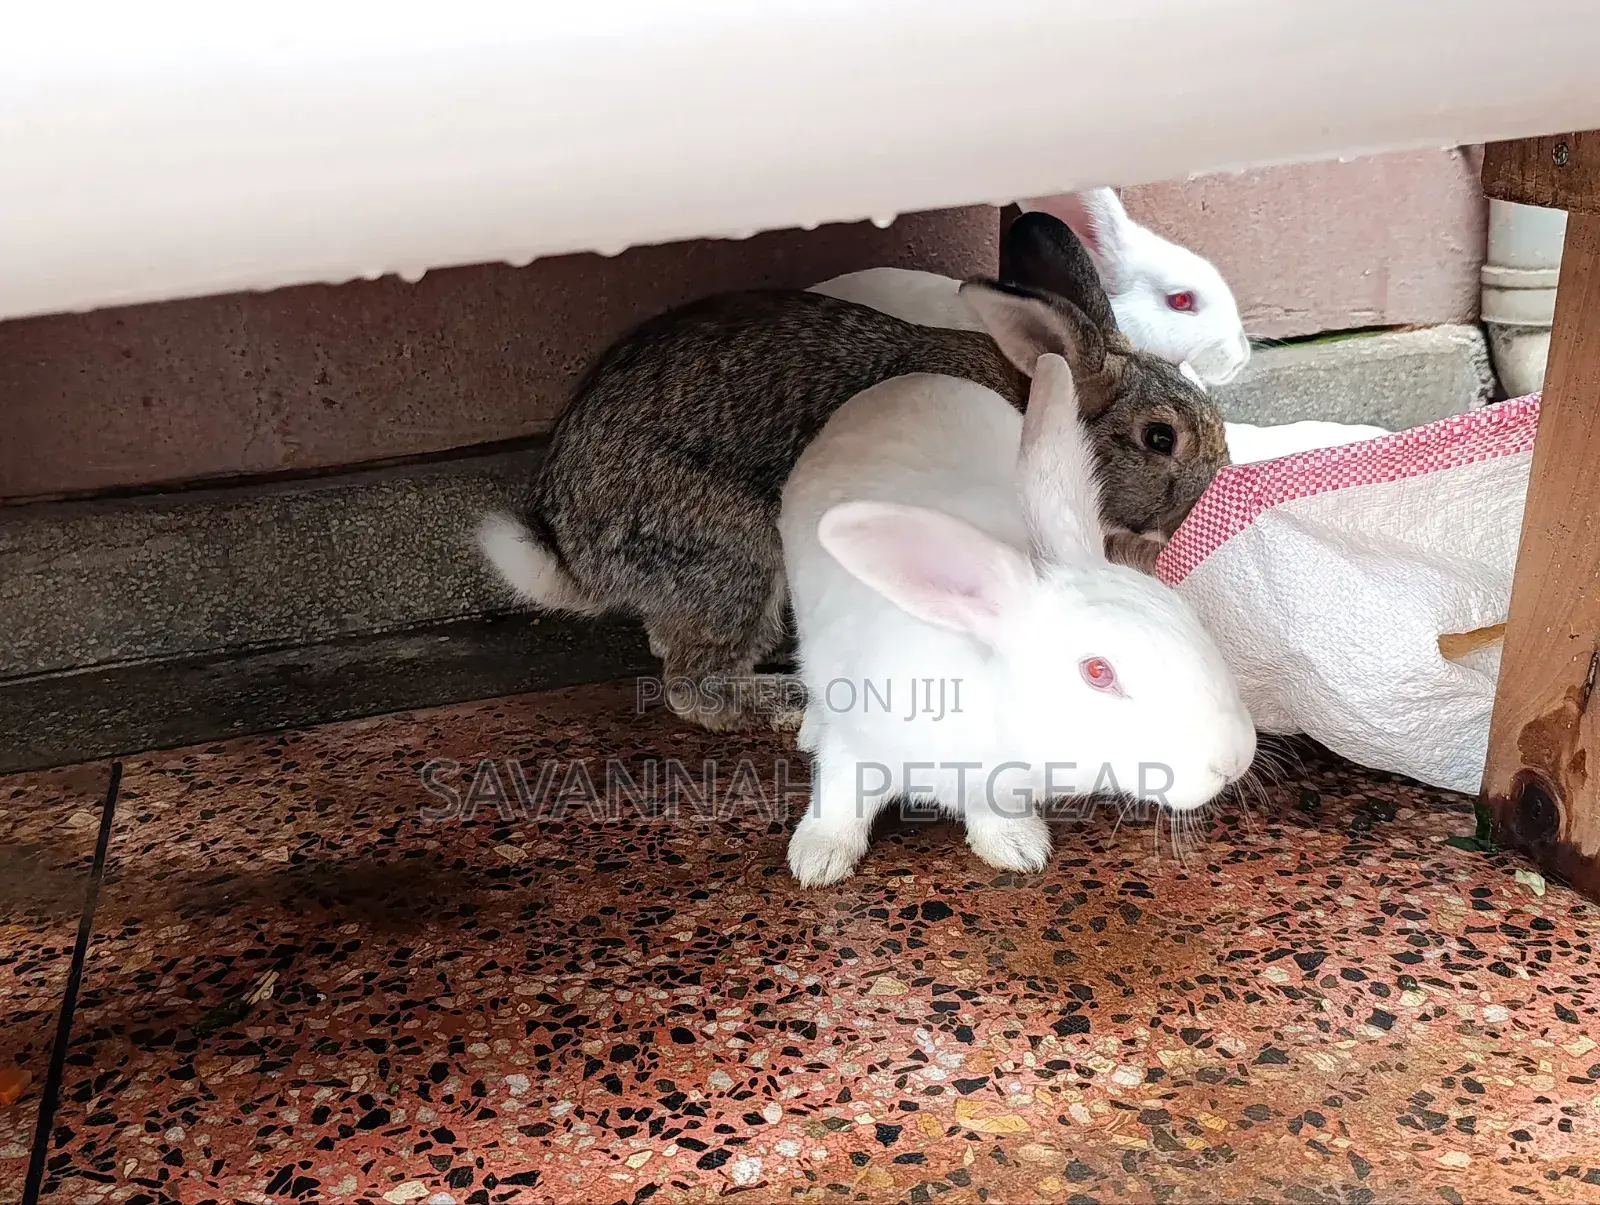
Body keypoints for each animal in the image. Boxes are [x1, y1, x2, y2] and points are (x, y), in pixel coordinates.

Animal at [479, 211, 1228, 734]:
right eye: (1160, 437)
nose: (1208, 494)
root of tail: (573, 552)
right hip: (735, 552)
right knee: (693, 684)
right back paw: (781, 700)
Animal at [781, 348, 1257, 886]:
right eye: (1098, 672)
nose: (1234, 760)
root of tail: (906, 381)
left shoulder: (999, 788)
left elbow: (995, 814)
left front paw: (1017, 848)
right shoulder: (857, 747)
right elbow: (841, 799)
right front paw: (817, 861)